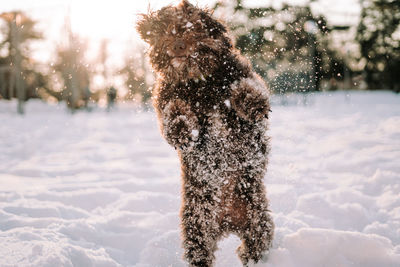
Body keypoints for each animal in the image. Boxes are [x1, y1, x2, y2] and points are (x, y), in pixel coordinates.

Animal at [138, 1, 276, 266]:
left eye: (192, 27)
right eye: (165, 30)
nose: (177, 45)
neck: (198, 81)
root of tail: (228, 221)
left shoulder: (241, 76)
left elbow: (247, 87)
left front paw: (253, 105)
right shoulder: (166, 98)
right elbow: (173, 113)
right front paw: (181, 130)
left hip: (257, 218)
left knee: (255, 245)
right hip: (197, 223)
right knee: (201, 250)